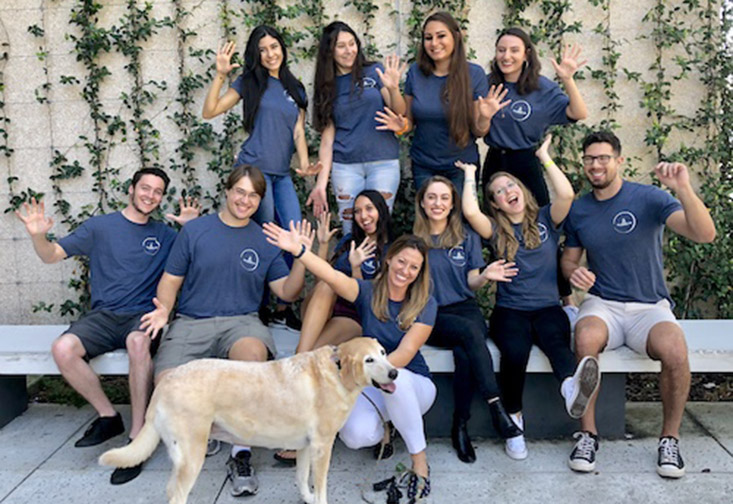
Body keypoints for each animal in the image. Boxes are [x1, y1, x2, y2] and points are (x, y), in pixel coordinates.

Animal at [98, 336, 394, 504]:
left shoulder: (305, 446)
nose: (394, 373)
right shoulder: (322, 447)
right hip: (192, 455)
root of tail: (166, 381)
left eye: (383, 353)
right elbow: (320, 487)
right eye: (368, 360)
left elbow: (302, 479)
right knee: (177, 493)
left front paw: (307, 498)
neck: (337, 369)